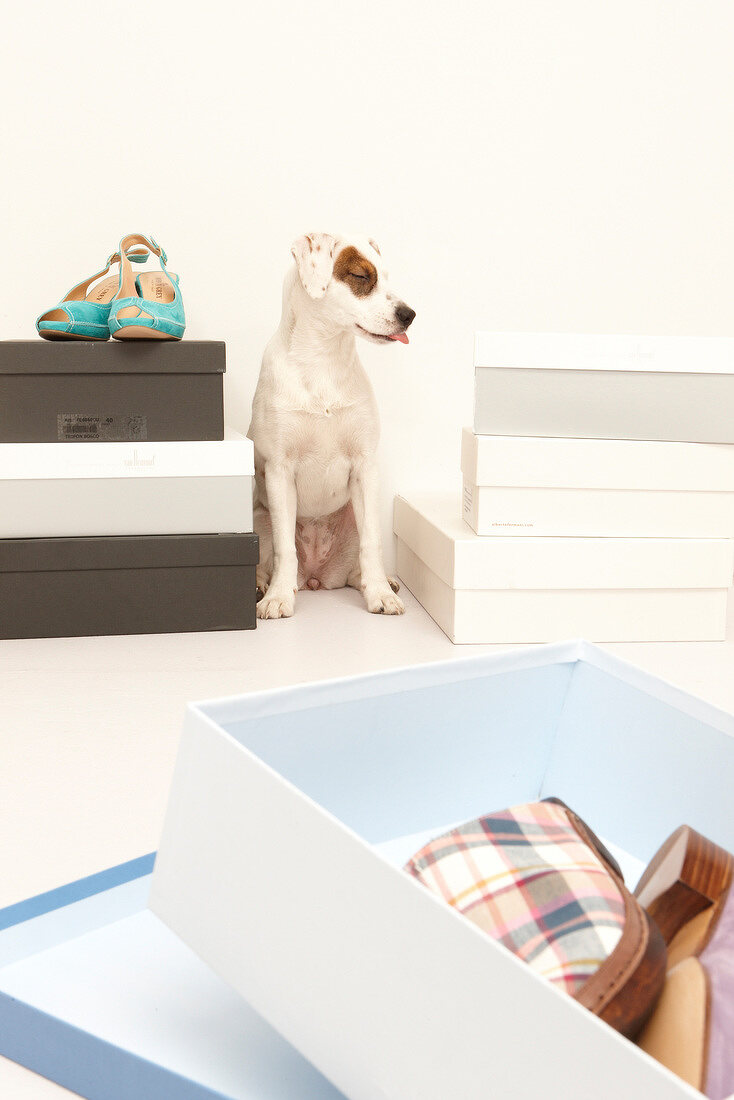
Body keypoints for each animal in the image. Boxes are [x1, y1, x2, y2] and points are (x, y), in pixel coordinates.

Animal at [249, 232, 415, 620]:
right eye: (361, 276)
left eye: (386, 276)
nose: (410, 314)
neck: (323, 359)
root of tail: (317, 577)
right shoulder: (279, 471)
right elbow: (284, 550)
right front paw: (278, 597)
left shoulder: (365, 466)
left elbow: (373, 545)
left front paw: (379, 593)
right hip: (259, 520)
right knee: (268, 562)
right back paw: (264, 586)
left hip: (354, 517)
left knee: (358, 567)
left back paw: (381, 582)